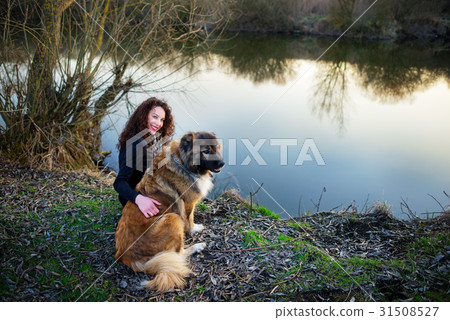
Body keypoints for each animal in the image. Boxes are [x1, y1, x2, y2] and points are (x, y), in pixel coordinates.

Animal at [113, 131, 224, 292]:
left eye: (217, 148)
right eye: (206, 151)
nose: (222, 163)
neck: (182, 163)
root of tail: (123, 256)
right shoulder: (188, 203)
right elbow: (190, 220)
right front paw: (195, 229)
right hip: (173, 218)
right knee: (180, 253)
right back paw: (197, 247)